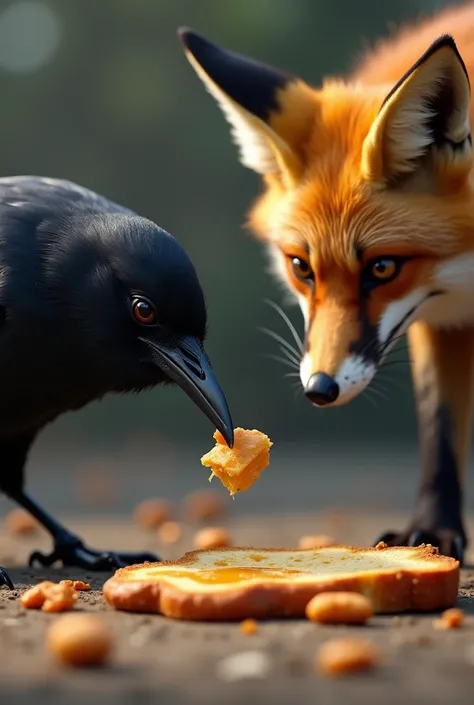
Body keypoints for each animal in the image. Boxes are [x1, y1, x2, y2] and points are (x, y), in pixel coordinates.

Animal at [179, 0, 474, 560]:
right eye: (301, 267)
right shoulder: (438, 320)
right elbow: (439, 429)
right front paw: (434, 527)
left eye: (383, 268)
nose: (320, 388)